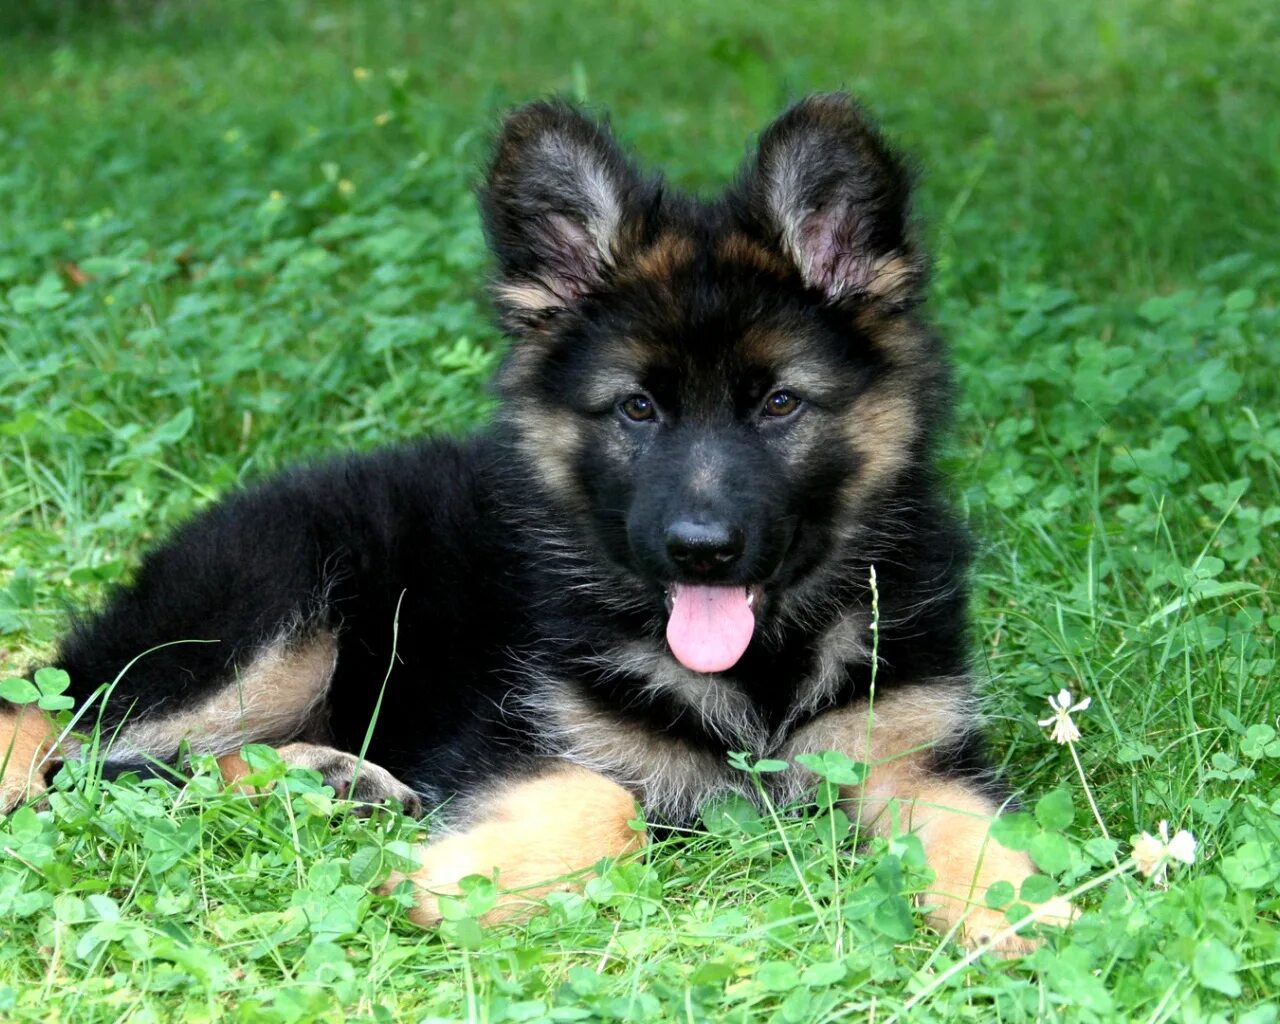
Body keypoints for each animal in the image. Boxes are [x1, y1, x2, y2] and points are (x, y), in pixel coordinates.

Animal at [5, 96, 1070, 952]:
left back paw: (326, 777)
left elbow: (973, 825)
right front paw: (443, 886)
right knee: (72, 736)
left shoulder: (914, 755)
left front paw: (1026, 908)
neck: (764, 665)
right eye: (637, 410)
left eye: (779, 405)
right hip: (271, 617)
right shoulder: (515, 739)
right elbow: (609, 800)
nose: (700, 551)